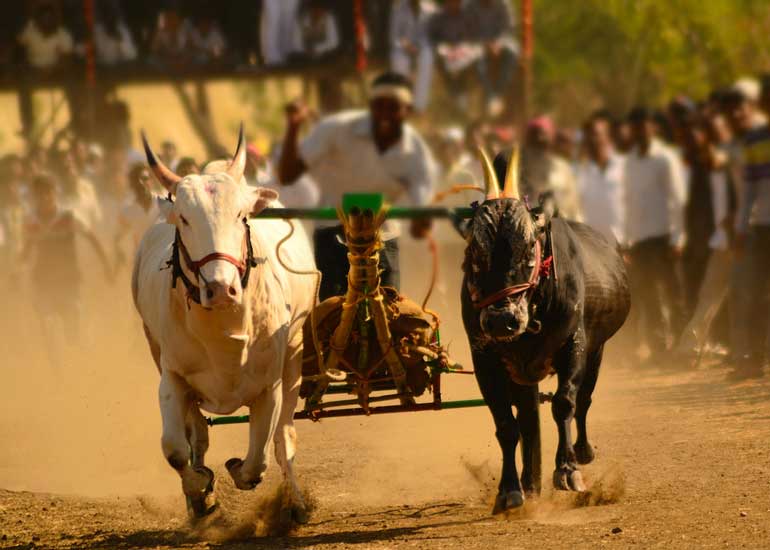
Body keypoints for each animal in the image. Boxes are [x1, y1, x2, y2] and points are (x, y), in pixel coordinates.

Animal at [133, 129, 316, 520]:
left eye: (241, 215)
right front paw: (200, 490)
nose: (220, 288)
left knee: (285, 439)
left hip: (295, 356)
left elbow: (259, 459)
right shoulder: (172, 376)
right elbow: (175, 448)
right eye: (184, 218)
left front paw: (237, 471)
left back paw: (295, 501)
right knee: (197, 435)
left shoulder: (270, 386)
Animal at [460, 154, 628, 512]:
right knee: (527, 422)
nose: (501, 321)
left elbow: (565, 403)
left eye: (528, 249)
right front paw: (510, 488)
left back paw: (582, 451)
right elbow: (507, 426)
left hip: (597, 351)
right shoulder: (486, 360)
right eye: (475, 254)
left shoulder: (574, 344)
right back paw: (529, 480)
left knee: (584, 401)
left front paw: (567, 470)